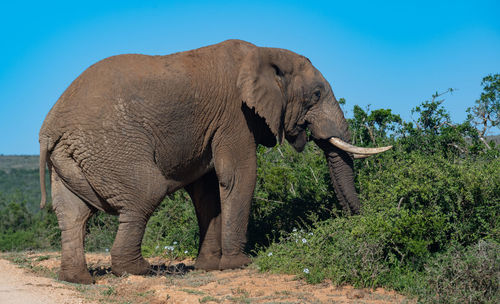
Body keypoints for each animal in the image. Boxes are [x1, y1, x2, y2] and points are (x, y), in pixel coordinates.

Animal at [39, 39, 390, 284]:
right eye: (316, 95)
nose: (359, 222)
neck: (265, 52)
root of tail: (50, 129)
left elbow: (206, 190)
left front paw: (209, 266)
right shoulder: (235, 115)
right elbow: (239, 175)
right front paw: (239, 264)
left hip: (68, 160)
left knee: (73, 216)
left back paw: (77, 280)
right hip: (111, 147)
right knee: (144, 195)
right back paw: (140, 270)